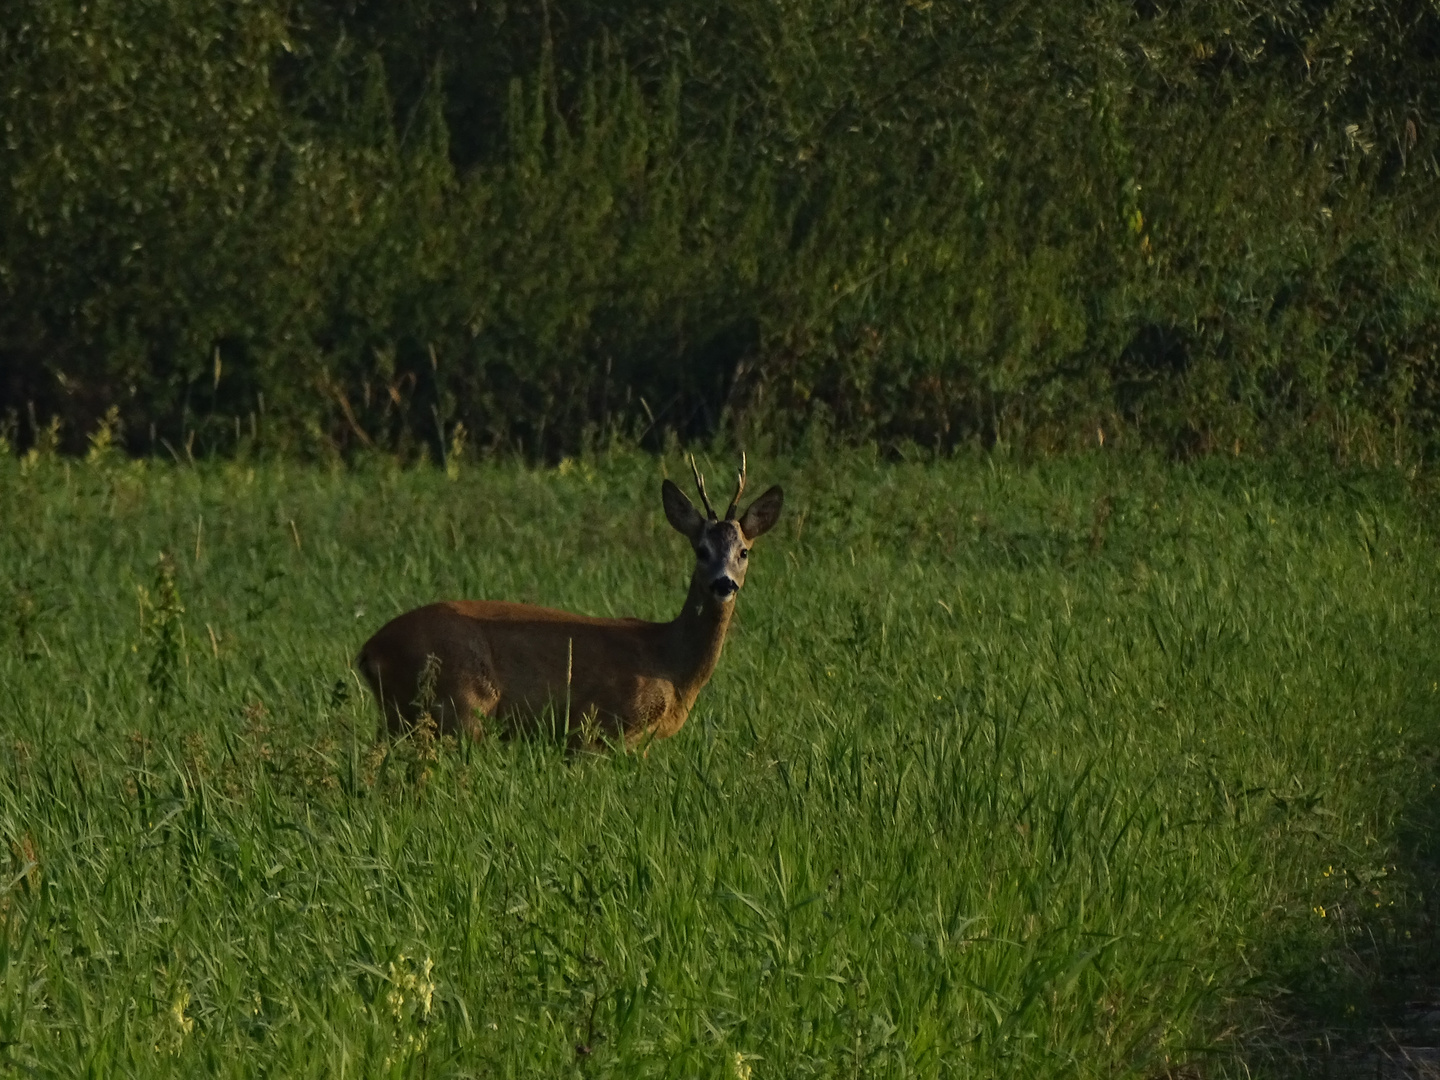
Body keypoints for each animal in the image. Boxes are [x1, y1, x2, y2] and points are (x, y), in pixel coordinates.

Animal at [360, 457, 789, 754]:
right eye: (701, 550)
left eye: (744, 551)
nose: (723, 583)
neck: (669, 664)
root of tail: (369, 651)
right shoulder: (597, 727)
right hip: (459, 706)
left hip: (401, 715)